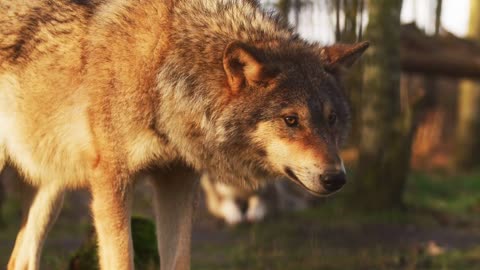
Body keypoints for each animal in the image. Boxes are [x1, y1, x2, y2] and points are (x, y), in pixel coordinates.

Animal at [0, 0, 368, 268]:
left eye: (332, 119)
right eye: (291, 120)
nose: (337, 177)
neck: (162, 70)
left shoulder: (177, 180)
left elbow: (179, 260)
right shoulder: (111, 182)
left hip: (51, 190)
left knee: (20, 260)